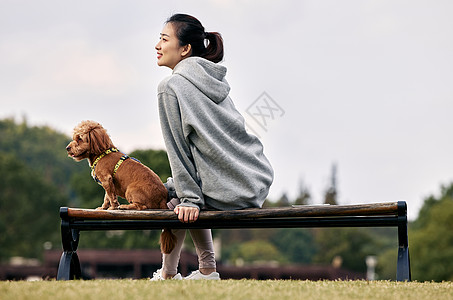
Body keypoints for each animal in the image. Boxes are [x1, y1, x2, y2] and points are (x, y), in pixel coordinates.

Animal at [66, 119, 176, 253]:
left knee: (142, 207)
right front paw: (103, 208)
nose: (67, 148)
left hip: (131, 190)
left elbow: (112, 197)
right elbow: (107, 197)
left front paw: (113, 208)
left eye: (80, 138)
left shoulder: (106, 179)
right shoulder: (107, 183)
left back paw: (125, 206)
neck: (101, 153)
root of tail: (163, 199)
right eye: (74, 137)